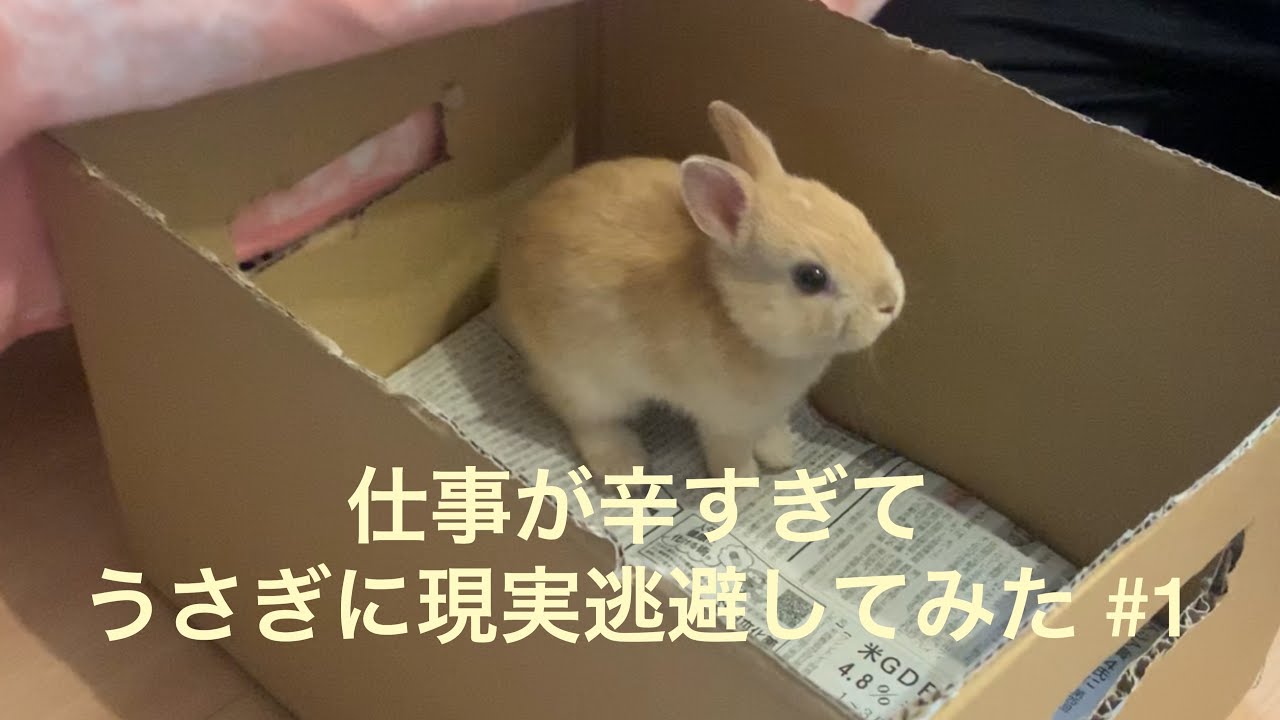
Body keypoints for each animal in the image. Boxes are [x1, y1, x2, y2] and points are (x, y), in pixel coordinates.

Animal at [494, 100, 904, 481]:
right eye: (810, 277)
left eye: (858, 216)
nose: (890, 303)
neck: (733, 313)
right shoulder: (726, 419)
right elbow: (730, 455)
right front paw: (742, 488)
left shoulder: (770, 410)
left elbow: (771, 429)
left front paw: (780, 456)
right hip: (588, 383)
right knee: (587, 420)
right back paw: (625, 467)